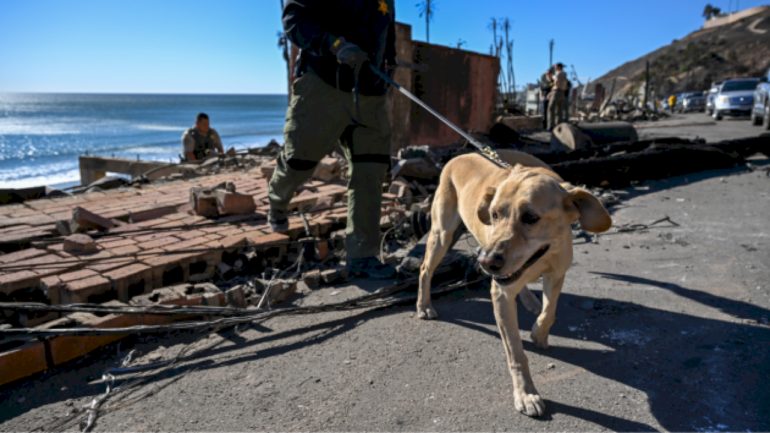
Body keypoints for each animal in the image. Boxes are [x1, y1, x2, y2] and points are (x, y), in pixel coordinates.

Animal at [416, 149, 608, 416]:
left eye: (530, 217)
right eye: (494, 214)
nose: (485, 262)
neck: (543, 255)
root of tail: (463, 153)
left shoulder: (556, 275)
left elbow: (549, 312)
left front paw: (539, 333)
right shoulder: (501, 295)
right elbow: (516, 353)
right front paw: (526, 394)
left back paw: (530, 300)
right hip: (441, 234)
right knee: (425, 269)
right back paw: (424, 306)